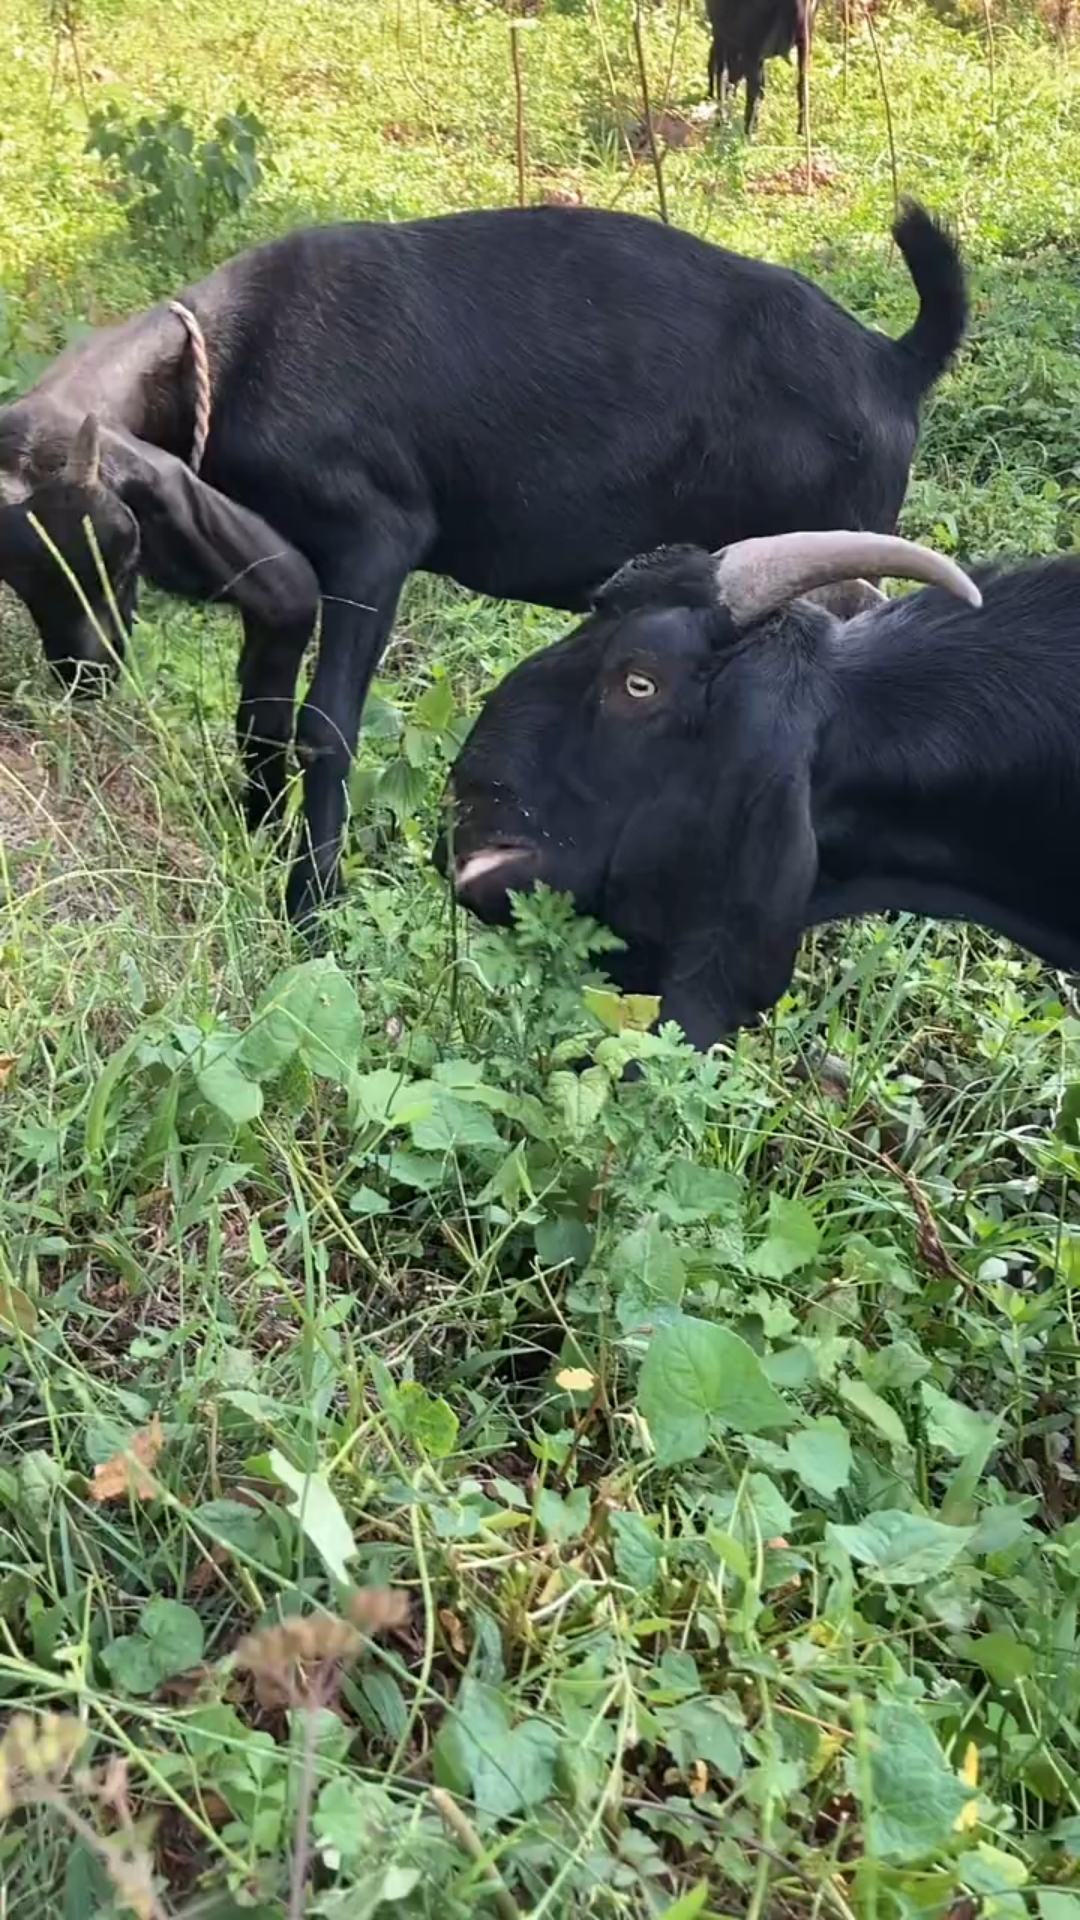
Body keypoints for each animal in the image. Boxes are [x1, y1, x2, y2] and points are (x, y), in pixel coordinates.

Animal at [703, 0, 810, 137]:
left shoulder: (724, 36)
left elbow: (721, 74)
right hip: (803, 45)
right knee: (801, 88)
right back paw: (800, 133)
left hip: (750, 50)